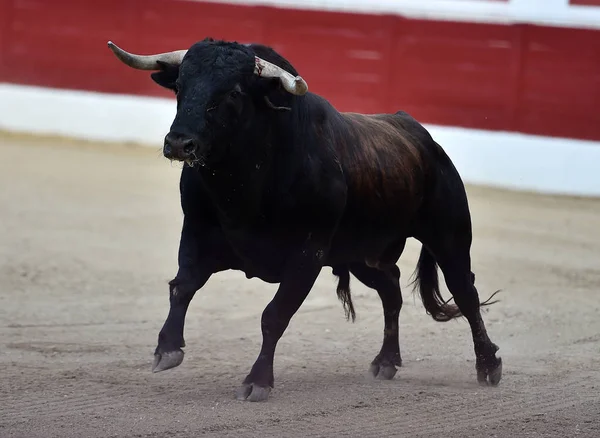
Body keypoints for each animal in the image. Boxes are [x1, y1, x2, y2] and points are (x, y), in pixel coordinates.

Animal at [106, 36, 502, 402]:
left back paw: (489, 366)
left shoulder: (307, 253)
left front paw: (257, 382)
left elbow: (274, 315)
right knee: (391, 289)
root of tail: (422, 137)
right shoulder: (197, 231)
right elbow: (182, 286)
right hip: (362, 255)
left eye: (233, 91)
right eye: (180, 85)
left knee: (465, 292)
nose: (179, 143)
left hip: (449, 236)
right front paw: (167, 350)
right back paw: (386, 361)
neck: (243, 186)